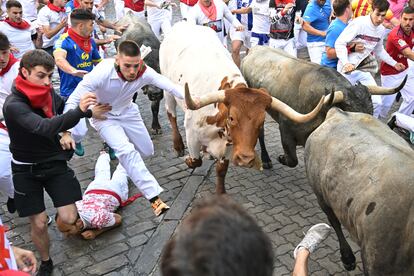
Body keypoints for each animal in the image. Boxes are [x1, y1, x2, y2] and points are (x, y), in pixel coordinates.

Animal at [160, 22, 326, 193]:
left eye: (261, 121)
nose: (246, 159)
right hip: (167, 90)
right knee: (171, 114)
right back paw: (178, 146)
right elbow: (195, 161)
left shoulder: (228, 145)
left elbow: (221, 170)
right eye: (232, 118)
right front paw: (189, 158)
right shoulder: (191, 133)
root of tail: (184, 23)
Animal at [241, 45, 406, 168]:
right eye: (350, 112)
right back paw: (266, 159)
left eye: (371, 112)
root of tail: (254, 49)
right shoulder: (285, 128)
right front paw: (281, 158)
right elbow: (293, 160)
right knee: (260, 131)